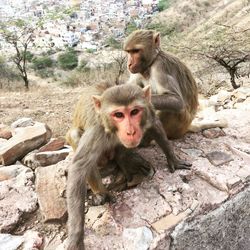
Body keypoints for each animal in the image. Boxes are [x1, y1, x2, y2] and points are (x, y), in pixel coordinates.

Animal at [65, 81, 190, 248]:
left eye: (134, 111)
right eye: (118, 115)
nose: (131, 132)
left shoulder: (147, 110)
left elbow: (155, 124)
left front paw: (173, 159)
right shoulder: (97, 130)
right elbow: (78, 168)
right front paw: (76, 239)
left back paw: (125, 161)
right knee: (76, 136)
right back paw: (101, 193)